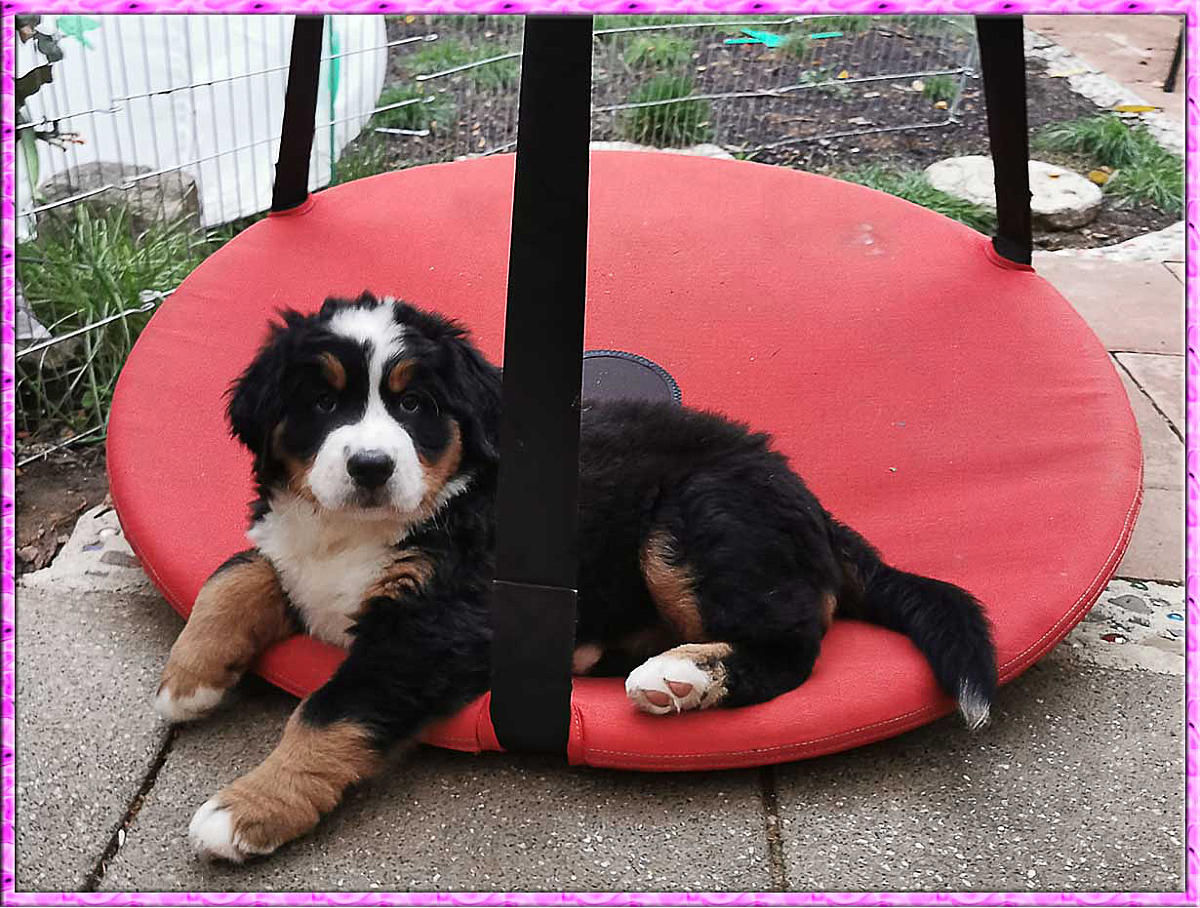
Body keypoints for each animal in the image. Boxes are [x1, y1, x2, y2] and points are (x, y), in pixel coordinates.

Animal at [155, 292, 997, 862]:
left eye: (415, 404)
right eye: (323, 402)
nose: (369, 467)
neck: (358, 531)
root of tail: (816, 508)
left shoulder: (435, 621)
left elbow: (329, 713)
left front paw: (248, 810)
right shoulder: (291, 548)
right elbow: (236, 573)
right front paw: (189, 676)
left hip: (691, 515)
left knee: (793, 647)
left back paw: (681, 677)